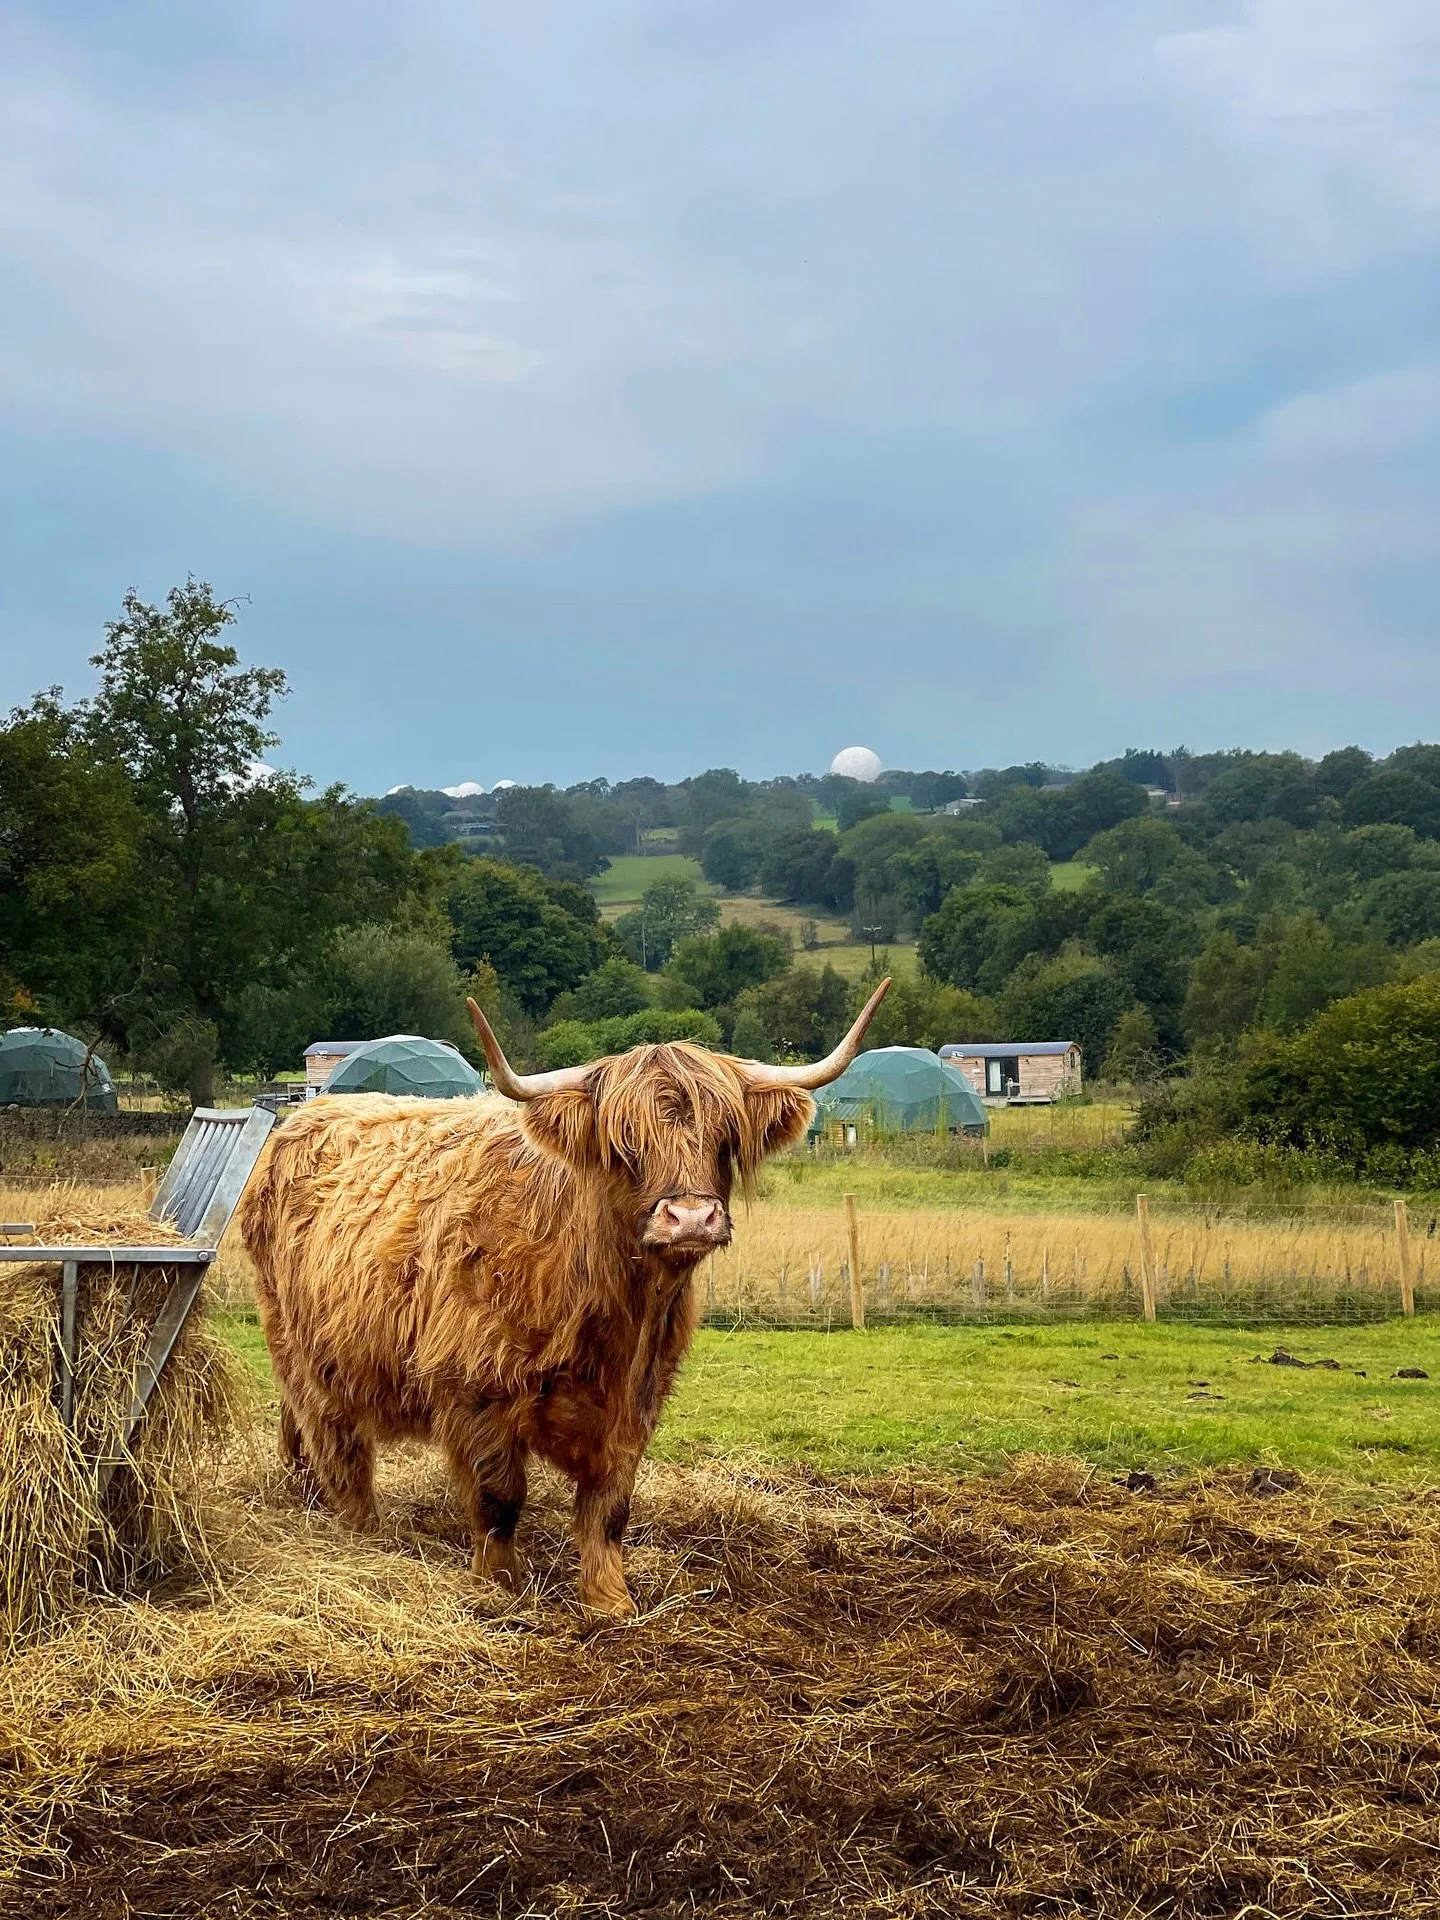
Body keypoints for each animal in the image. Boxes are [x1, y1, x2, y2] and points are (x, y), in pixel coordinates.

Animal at [238, 979, 889, 1616]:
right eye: (625, 1145)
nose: (690, 1218)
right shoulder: (475, 1388)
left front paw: (609, 1601)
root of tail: (304, 1114)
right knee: (337, 1445)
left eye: (723, 1137)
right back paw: (363, 1538)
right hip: (304, 1348)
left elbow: (609, 1507)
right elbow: (499, 1498)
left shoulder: (639, 1397)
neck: (615, 1309)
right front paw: (502, 1587)